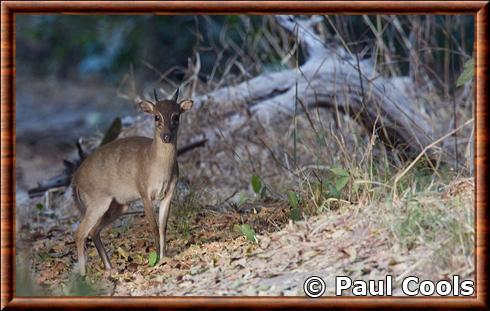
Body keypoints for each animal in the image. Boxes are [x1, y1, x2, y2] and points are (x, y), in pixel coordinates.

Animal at [72, 88, 192, 276]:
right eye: (156, 116)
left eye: (176, 116)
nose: (166, 136)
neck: (157, 166)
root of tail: (75, 179)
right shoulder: (144, 193)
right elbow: (153, 228)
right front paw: (156, 261)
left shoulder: (168, 193)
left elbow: (162, 227)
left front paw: (164, 258)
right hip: (97, 201)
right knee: (80, 233)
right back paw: (84, 275)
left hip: (119, 205)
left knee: (93, 230)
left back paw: (110, 268)